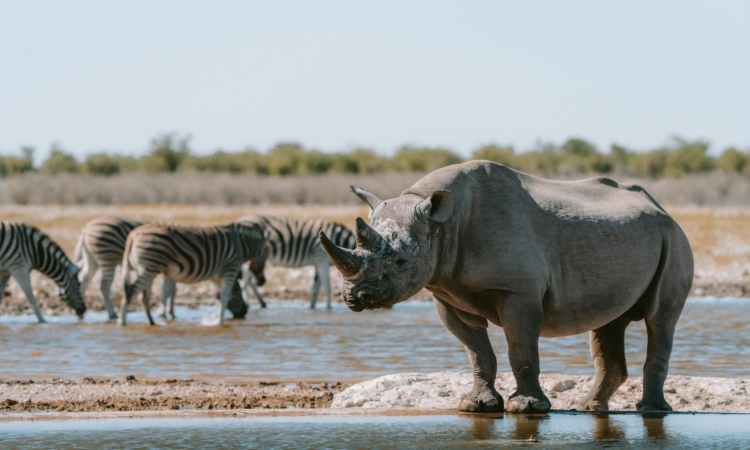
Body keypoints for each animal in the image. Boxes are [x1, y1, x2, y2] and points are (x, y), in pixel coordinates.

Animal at [320, 161, 693, 413]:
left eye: (400, 262)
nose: (355, 298)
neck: (444, 224)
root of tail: (661, 208)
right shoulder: (446, 291)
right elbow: (477, 351)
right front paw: (476, 405)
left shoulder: (518, 290)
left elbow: (520, 348)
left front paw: (526, 408)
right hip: (630, 237)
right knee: (608, 323)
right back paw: (587, 407)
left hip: (673, 237)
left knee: (659, 319)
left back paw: (651, 411)